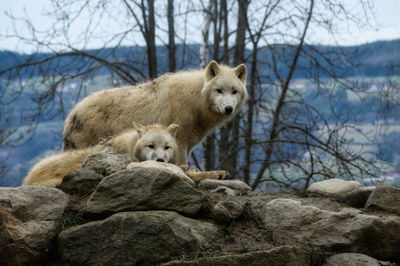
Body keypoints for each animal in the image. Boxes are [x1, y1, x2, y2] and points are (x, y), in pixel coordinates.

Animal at [22, 123, 228, 187]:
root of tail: (26, 178)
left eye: (167, 147)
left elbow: (183, 168)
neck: (130, 147)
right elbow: (186, 173)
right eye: (151, 146)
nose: (160, 159)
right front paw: (217, 173)